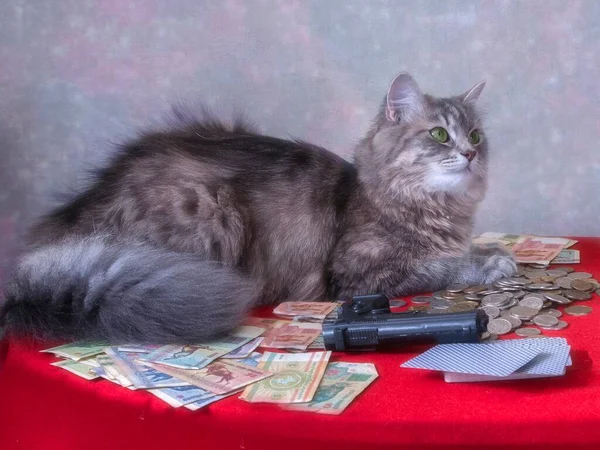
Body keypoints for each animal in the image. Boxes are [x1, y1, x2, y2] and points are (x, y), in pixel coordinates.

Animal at [0, 72, 516, 342]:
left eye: (475, 135)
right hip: (209, 210)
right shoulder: (359, 273)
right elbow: (440, 266)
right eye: (438, 134)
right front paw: (493, 262)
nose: (470, 154)